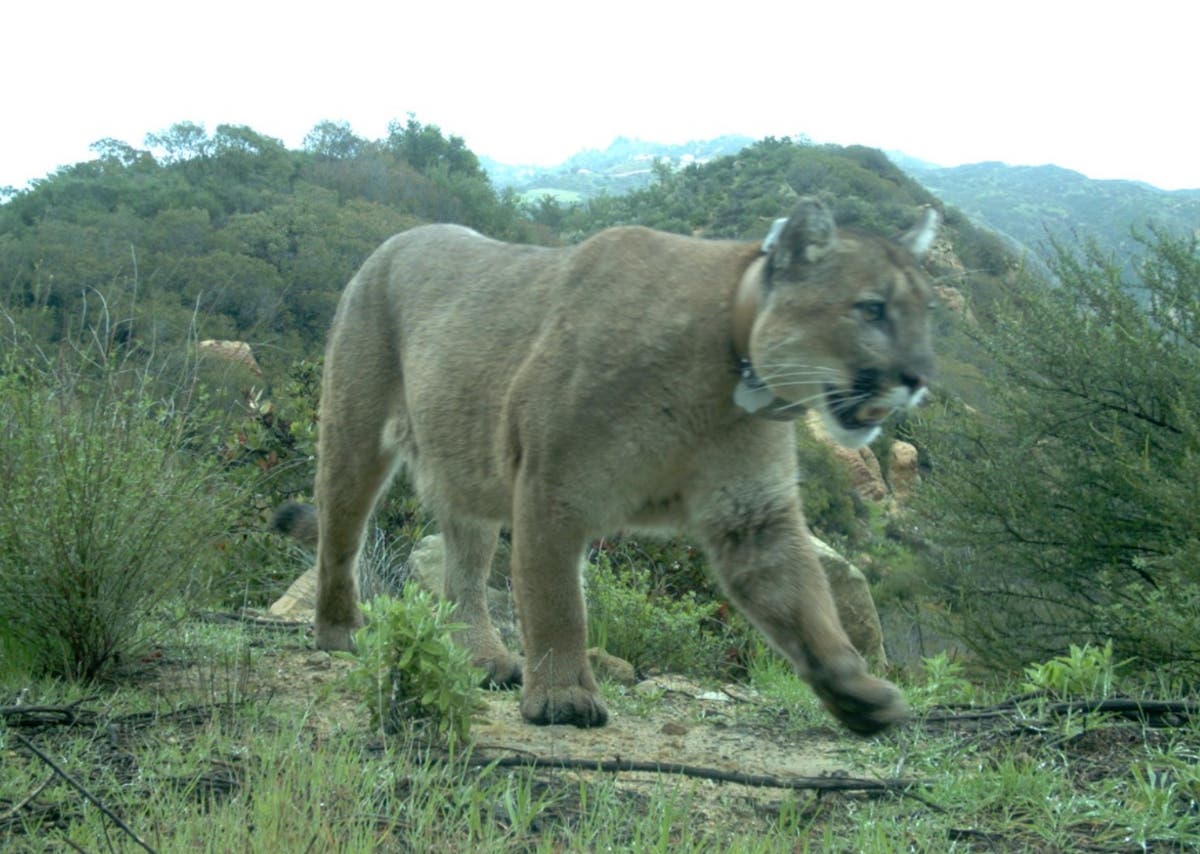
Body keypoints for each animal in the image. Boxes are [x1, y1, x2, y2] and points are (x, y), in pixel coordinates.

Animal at [274, 196, 939, 735]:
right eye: (872, 308)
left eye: (924, 311)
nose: (917, 376)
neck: (725, 372)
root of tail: (391, 242)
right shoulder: (552, 487)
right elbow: (557, 602)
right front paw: (563, 697)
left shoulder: (753, 514)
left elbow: (804, 604)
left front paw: (857, 691)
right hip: (355, 431)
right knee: (340, 533)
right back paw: (341, 630)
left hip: (466, 463)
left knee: (463, 566)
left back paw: (483, 657)